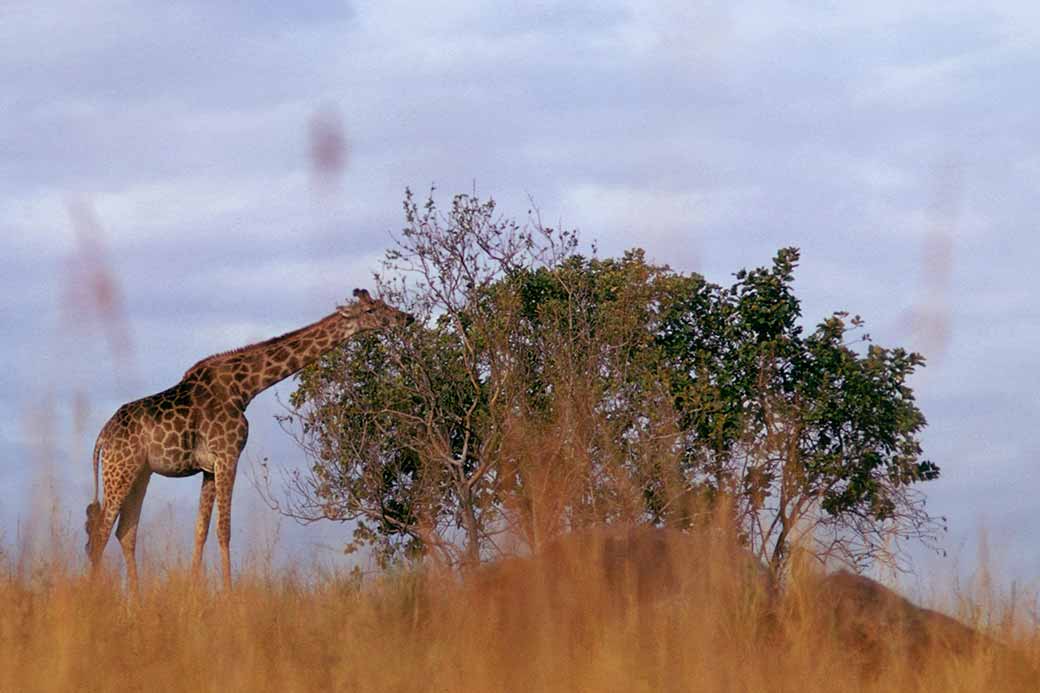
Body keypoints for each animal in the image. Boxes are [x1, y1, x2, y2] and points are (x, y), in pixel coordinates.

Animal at [83, 287, 407, 586]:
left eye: (382, 304)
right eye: (371, 310)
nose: (406, 318)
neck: (245, 388)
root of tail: (102, 438)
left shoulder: (208, 468)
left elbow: (201, 531)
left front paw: (193, 591)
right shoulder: (228, 454)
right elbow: (223, 530)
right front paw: (228, 594)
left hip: (141, 474)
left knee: (125, 532)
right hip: (120, 470)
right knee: (100, 533)